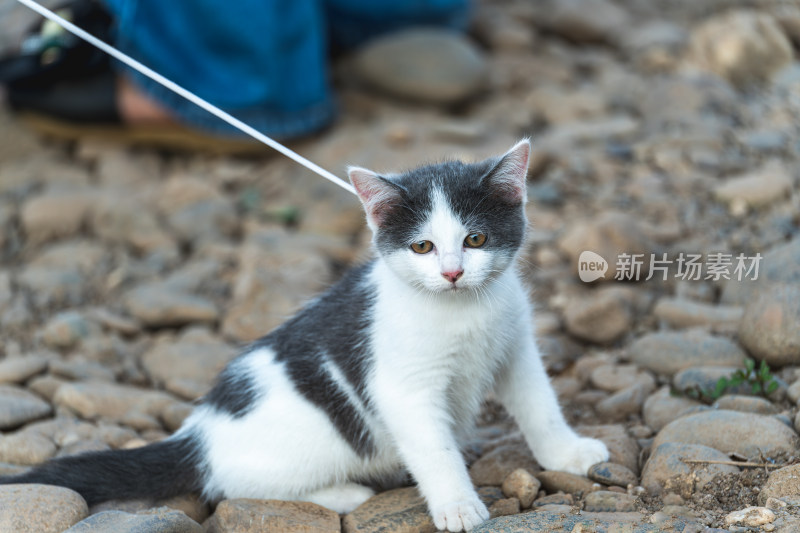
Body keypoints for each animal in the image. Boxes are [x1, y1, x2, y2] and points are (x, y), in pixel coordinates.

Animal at [3, 141, 608, 532]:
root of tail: (198, 433)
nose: (454, 272)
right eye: (422, 247)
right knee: (228, 485)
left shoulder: (514, 346)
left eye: (475, 239)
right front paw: (458, 506)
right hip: (295, 447)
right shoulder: (402, 388)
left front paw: (568, 454)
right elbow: (432, 447)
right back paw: (342, 491)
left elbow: (539, 404)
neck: (462, 309)